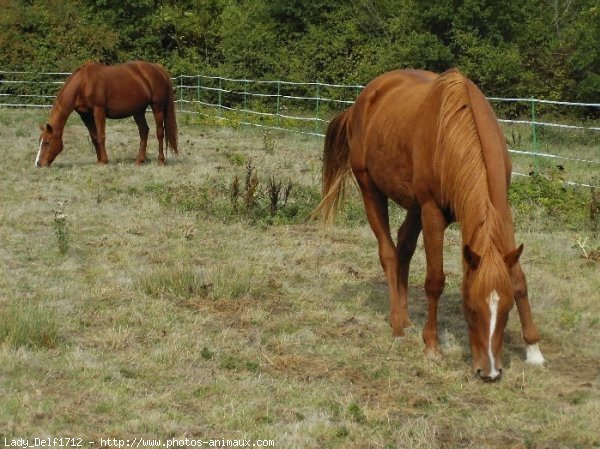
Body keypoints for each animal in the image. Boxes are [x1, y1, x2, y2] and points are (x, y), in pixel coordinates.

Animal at [36, 60, 177, 167]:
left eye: (47, 142)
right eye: (40, 141)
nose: (38, 164)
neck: (84, 84)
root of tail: (157, 68)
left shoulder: (99, 111)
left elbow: (101, 136)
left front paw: (104, 161)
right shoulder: (85, 115)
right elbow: (94, 137)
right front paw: (99, 160)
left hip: (157, 106)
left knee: (160, 133)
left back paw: (160, 161)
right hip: (138, 111)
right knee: (144, 131)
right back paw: (139, 161)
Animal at [314, 68, 544, 380]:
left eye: (506, 310)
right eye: (470, 309)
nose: (490, 372)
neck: (456, 134)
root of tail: (362, 100)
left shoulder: (501, 208)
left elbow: (519, 278)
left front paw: (534, 350)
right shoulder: (432, 212)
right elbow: (435, 281)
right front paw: (432, 347)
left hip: (413, 206)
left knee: (403, 247)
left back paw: (404, 317)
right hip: (371, 189)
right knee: (388, 252)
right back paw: (397, 324)